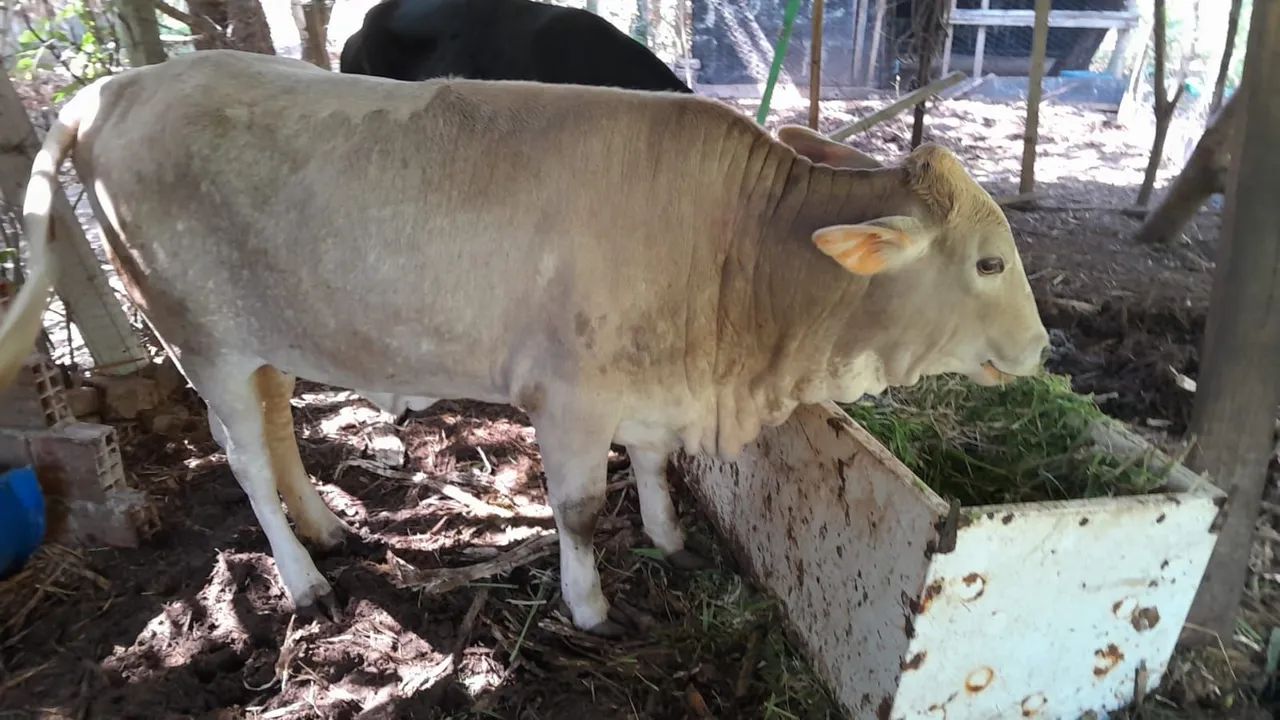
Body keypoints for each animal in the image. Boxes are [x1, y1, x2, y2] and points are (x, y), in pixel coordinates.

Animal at [1, 50, 1048, 637]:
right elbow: (580, 509)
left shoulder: (648, 384)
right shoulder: (570, 397)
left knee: (277, 426)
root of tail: (109, 90)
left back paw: (329, 528)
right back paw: (303, 582)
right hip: (202, 335)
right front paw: (589, 607)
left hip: (268, 335)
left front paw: (670, 540)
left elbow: (654, 464)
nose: (1043, 351)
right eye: (990, 262)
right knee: (246, 458)